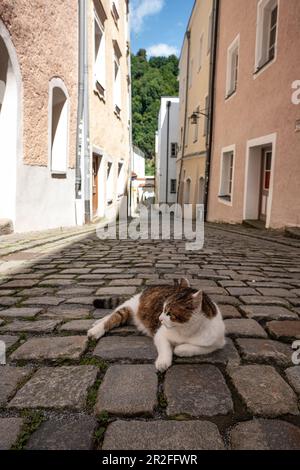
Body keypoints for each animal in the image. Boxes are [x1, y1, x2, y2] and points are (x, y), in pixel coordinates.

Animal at [86, 278, 225, 372]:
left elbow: (194, 348)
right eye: (162, 309)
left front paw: (180, 349)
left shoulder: (216, 343)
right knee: (113, 315)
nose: (160, 318)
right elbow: (165, 348)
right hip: (129, 308)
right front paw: (163, 362)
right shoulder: (160, 334)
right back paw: (96, 328)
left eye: (169, 313)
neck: (186, 329)